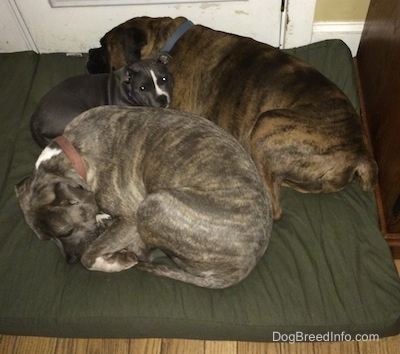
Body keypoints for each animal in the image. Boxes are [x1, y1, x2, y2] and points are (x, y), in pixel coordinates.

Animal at [15, 106, 272, 290]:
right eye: (46, 240)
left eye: (66, 232)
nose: (70, 261)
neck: (73, 153)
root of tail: (246, 265)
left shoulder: (129, 219)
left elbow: (90, 255)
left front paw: (111, 262)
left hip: (153, 205)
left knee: (144, 252)